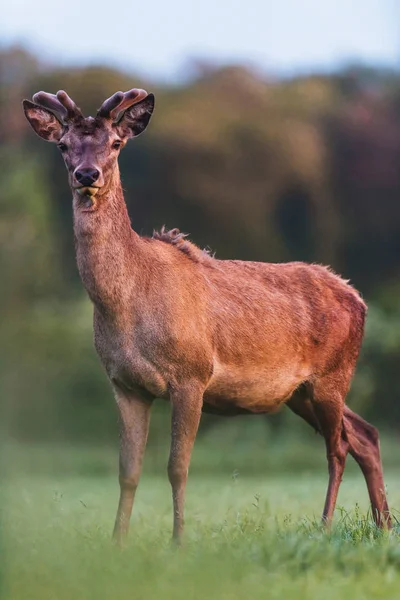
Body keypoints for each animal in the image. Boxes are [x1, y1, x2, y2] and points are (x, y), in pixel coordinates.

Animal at [23, 89, 392, 544]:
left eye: (116, 143)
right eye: (62, 145)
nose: (87, 174)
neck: (127, 306)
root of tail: (359, 299)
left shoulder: (191, 375)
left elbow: (177, 467)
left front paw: (179, 541)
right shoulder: (124, 384)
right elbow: (129, 471)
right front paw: (117, 542)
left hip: (331, 375)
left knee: (338, 447)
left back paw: (326, 525)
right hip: (300, 392)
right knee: (366, 435)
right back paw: (383, 525)